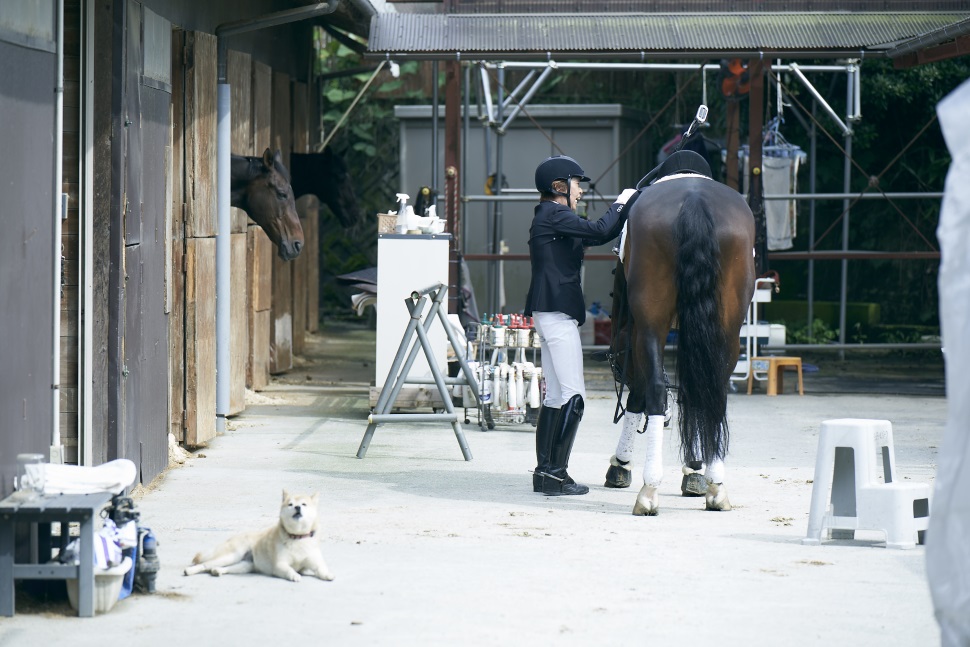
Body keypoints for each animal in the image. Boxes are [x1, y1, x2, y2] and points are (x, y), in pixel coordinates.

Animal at [183, 492, 334, 584]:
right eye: (290, 504)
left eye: (304, 504)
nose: (297, 507)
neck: (297, 537)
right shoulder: (279, 565)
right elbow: (289, 570)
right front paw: (294, 575)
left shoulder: (315, 563)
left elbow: (322, 569)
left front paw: (328, 575)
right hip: (232, 556)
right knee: (204, 564)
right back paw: (189, 571)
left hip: (245, 565)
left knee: (220, 568)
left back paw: (217, 571)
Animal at [604, 148, 756, 516]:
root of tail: (694, 200)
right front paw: (697, 471)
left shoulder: (637, 332)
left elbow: (640, 396)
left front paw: (622, 464)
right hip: (728, 329)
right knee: (712, 389)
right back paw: (716, 486)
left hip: (651, 324)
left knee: (657, 390)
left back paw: (649, 490)